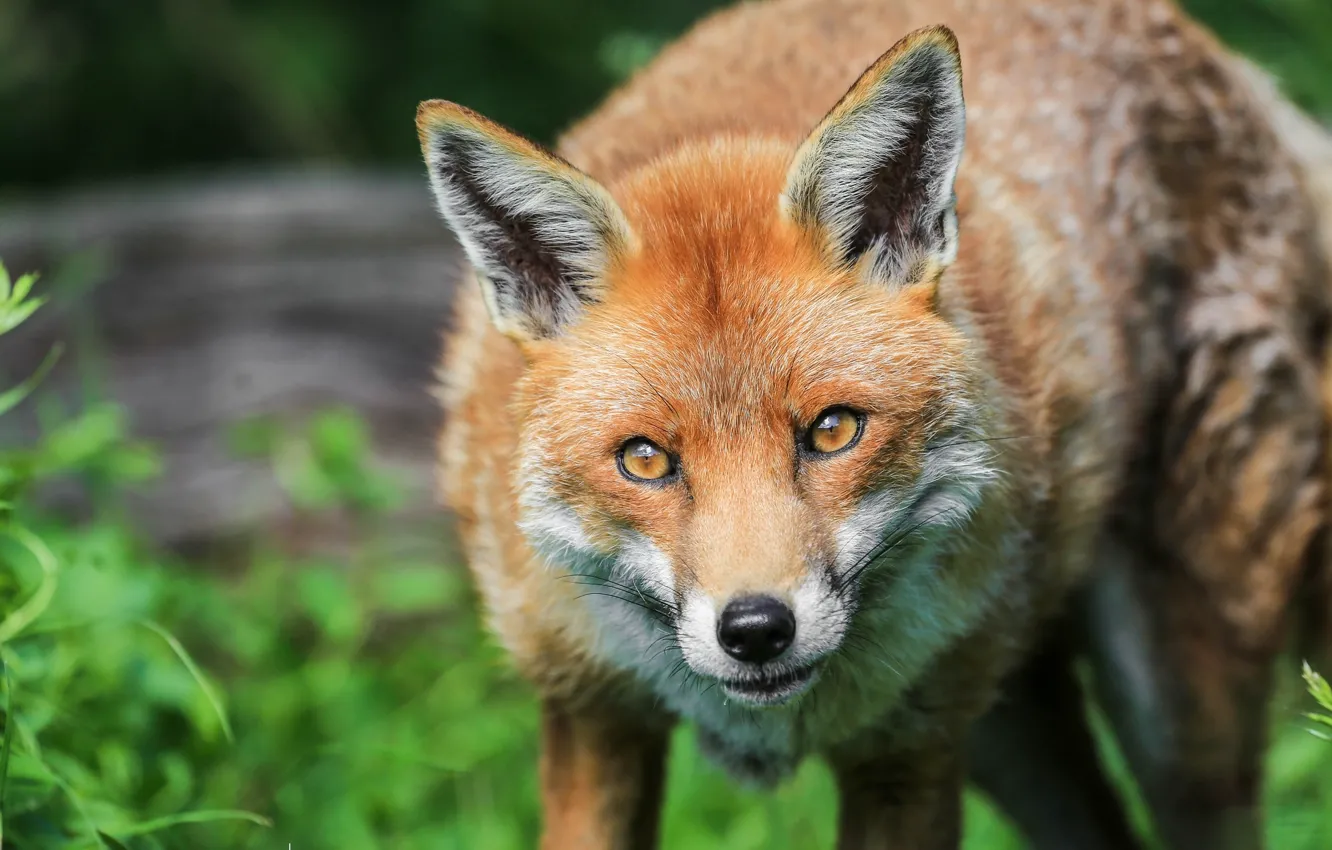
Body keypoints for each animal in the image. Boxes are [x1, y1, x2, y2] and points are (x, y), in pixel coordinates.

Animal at [415, 0, 1332, 847]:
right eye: (643, 460)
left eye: (832, 431)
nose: (755, 631)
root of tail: (1209, 50)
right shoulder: (589, 714)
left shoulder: (908, 752)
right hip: (1011, 737)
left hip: (1176, 717)